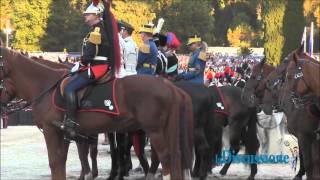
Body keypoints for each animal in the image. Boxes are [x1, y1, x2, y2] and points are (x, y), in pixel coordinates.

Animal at [0, 47, 194, 179]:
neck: (45, 85)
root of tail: (170, 86)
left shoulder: (52, 131)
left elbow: (56, 162)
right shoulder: (66, 134)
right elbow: (62, 162)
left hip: (155, 131)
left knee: (164, 158)